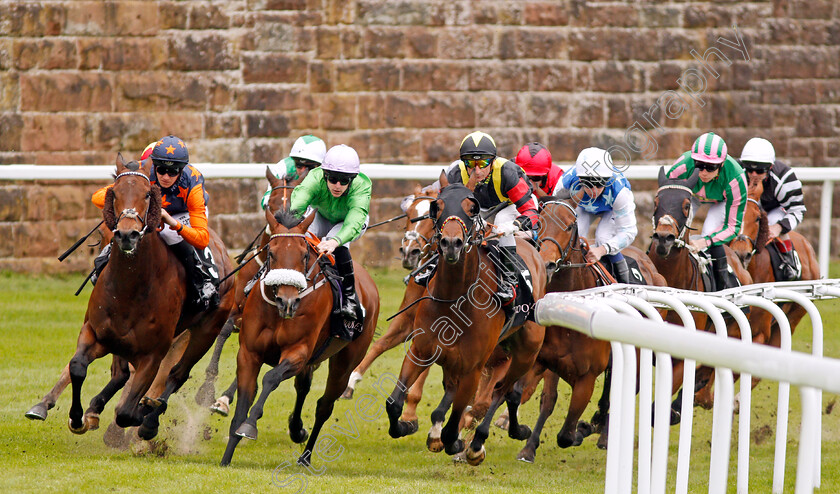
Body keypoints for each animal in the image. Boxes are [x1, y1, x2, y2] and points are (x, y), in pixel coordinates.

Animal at [63, 155, 235, 440]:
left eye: (146, 194)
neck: (129, 288)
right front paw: (78, 418)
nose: (127, 234)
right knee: (121, 374)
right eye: (115, 193)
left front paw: (144, 414)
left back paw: (150, 417)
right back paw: (97, 408)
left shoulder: (153, 354)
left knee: (178, 374)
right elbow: (77, 366)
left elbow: (126, 413)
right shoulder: (94, 331)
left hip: (207, 330)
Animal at [223, 206, 380, 466]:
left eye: (305, 255)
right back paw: (297, 429)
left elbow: (270, 379)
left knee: (324, 406)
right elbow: (243, 402)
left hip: (345, 362)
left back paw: (305, 456)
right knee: (302, 387)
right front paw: (226, 457)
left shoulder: (297, 352)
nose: (287, 301)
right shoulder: (249, 353)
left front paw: (250, 426)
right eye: (271, 253)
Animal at [386, 178, 548, 466]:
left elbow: (453, 428)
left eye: (472, 209)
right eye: (437, 207)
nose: (451, 243)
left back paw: (482, 442)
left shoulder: (474, 368)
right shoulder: (421, 351)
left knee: (504, 392)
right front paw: (407, 425)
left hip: (526, 353)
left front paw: (459, 443)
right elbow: (394, 403)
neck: (455, 298)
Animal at [512, 194, 668, 464]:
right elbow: (542, 400)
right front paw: (527, 446)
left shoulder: (587, 377)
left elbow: (565, 435)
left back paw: (602, 434)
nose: (547, 263)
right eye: (540, 222)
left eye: (568, 226)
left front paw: (583, 429)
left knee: (622, 393)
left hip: (637, 357)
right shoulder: (546, 362)